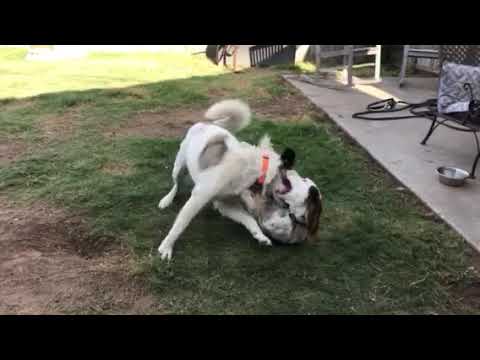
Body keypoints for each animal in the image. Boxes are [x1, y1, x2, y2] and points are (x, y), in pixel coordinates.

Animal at [158, 100, 322, 260]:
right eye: (306, 182)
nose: (315, 190)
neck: (255, 171)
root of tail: (211, 124)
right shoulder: (199, 197)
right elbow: (180, 225)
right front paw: (167, 246)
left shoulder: (225, 203)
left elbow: (249, 219)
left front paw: (260, 236)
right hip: (179, 166)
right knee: (176, 183)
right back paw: (166, 200)